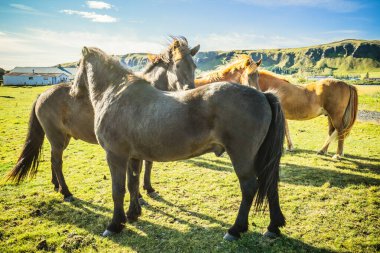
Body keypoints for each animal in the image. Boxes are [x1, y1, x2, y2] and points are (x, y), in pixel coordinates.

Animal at [7, 36, 200, 201]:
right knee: (56, 161)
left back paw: (57, 185)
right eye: (177, 65)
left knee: (53, 160)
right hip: (57, 138)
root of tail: (42, 94)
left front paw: (148, 188)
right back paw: (66, 192)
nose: (191, 90)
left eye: (194, 66)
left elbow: (149, 164)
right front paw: (139, 194)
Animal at [72, 46, 284, 241]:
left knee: (249, 187)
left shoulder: (115, 156)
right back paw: (273, 227)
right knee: (270, 184)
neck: (115, 93)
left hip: (242, 156)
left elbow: (118, 190)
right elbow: (133, 184)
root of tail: (262, 95)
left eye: (76, 65)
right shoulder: (133, 157)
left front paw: (115, 224)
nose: (73, 91)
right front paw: (133, 214)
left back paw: (235, 229)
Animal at [194, 54, 358, 159]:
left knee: (340, 131)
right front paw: (289, 147)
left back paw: (337, 155)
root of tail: (347, 84)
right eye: (249, 75)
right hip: (330, 116)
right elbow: (286, 129)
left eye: (257, 75)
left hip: (335, 116)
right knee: (333, 132)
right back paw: (323, 151)